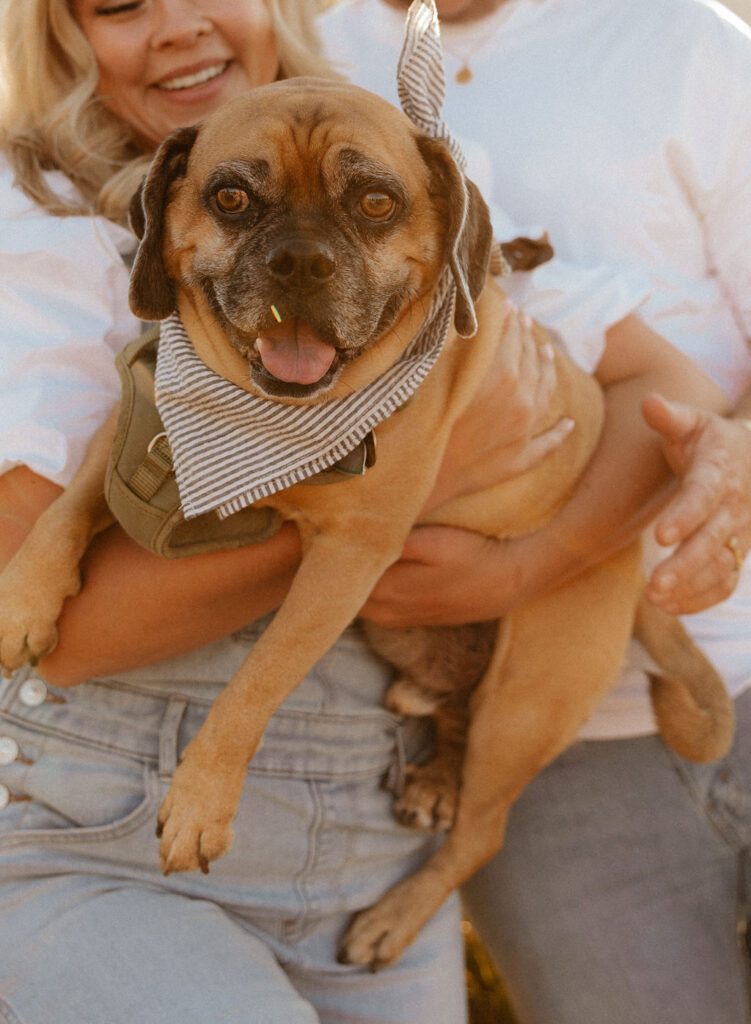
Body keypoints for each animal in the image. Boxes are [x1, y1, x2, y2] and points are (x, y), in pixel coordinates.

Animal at [0, 77, 733, 966]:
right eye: (231, 197)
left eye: (377, 202)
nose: (300, 262)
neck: (266, 422)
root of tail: (629, 572)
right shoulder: (136, 430)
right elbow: (67, 506)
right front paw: (24, 600)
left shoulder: (346, 560)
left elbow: (255, 683)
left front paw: (201, 802)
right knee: (451, 719)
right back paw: (432, 778)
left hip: (524, 700)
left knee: (481, 832)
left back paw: (394, 914)